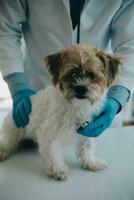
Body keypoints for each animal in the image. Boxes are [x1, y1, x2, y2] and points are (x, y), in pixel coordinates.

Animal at [0, 43, 121, 181]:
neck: (74, 106)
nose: (81, 87)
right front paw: (58, 170)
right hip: (14, 127)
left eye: (92, 75)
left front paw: (90, 162)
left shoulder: (87, 128)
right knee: (7, 139)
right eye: (72, 74)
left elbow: (87, 146)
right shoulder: (49, 132)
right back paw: (3, 150)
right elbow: (52, 152)